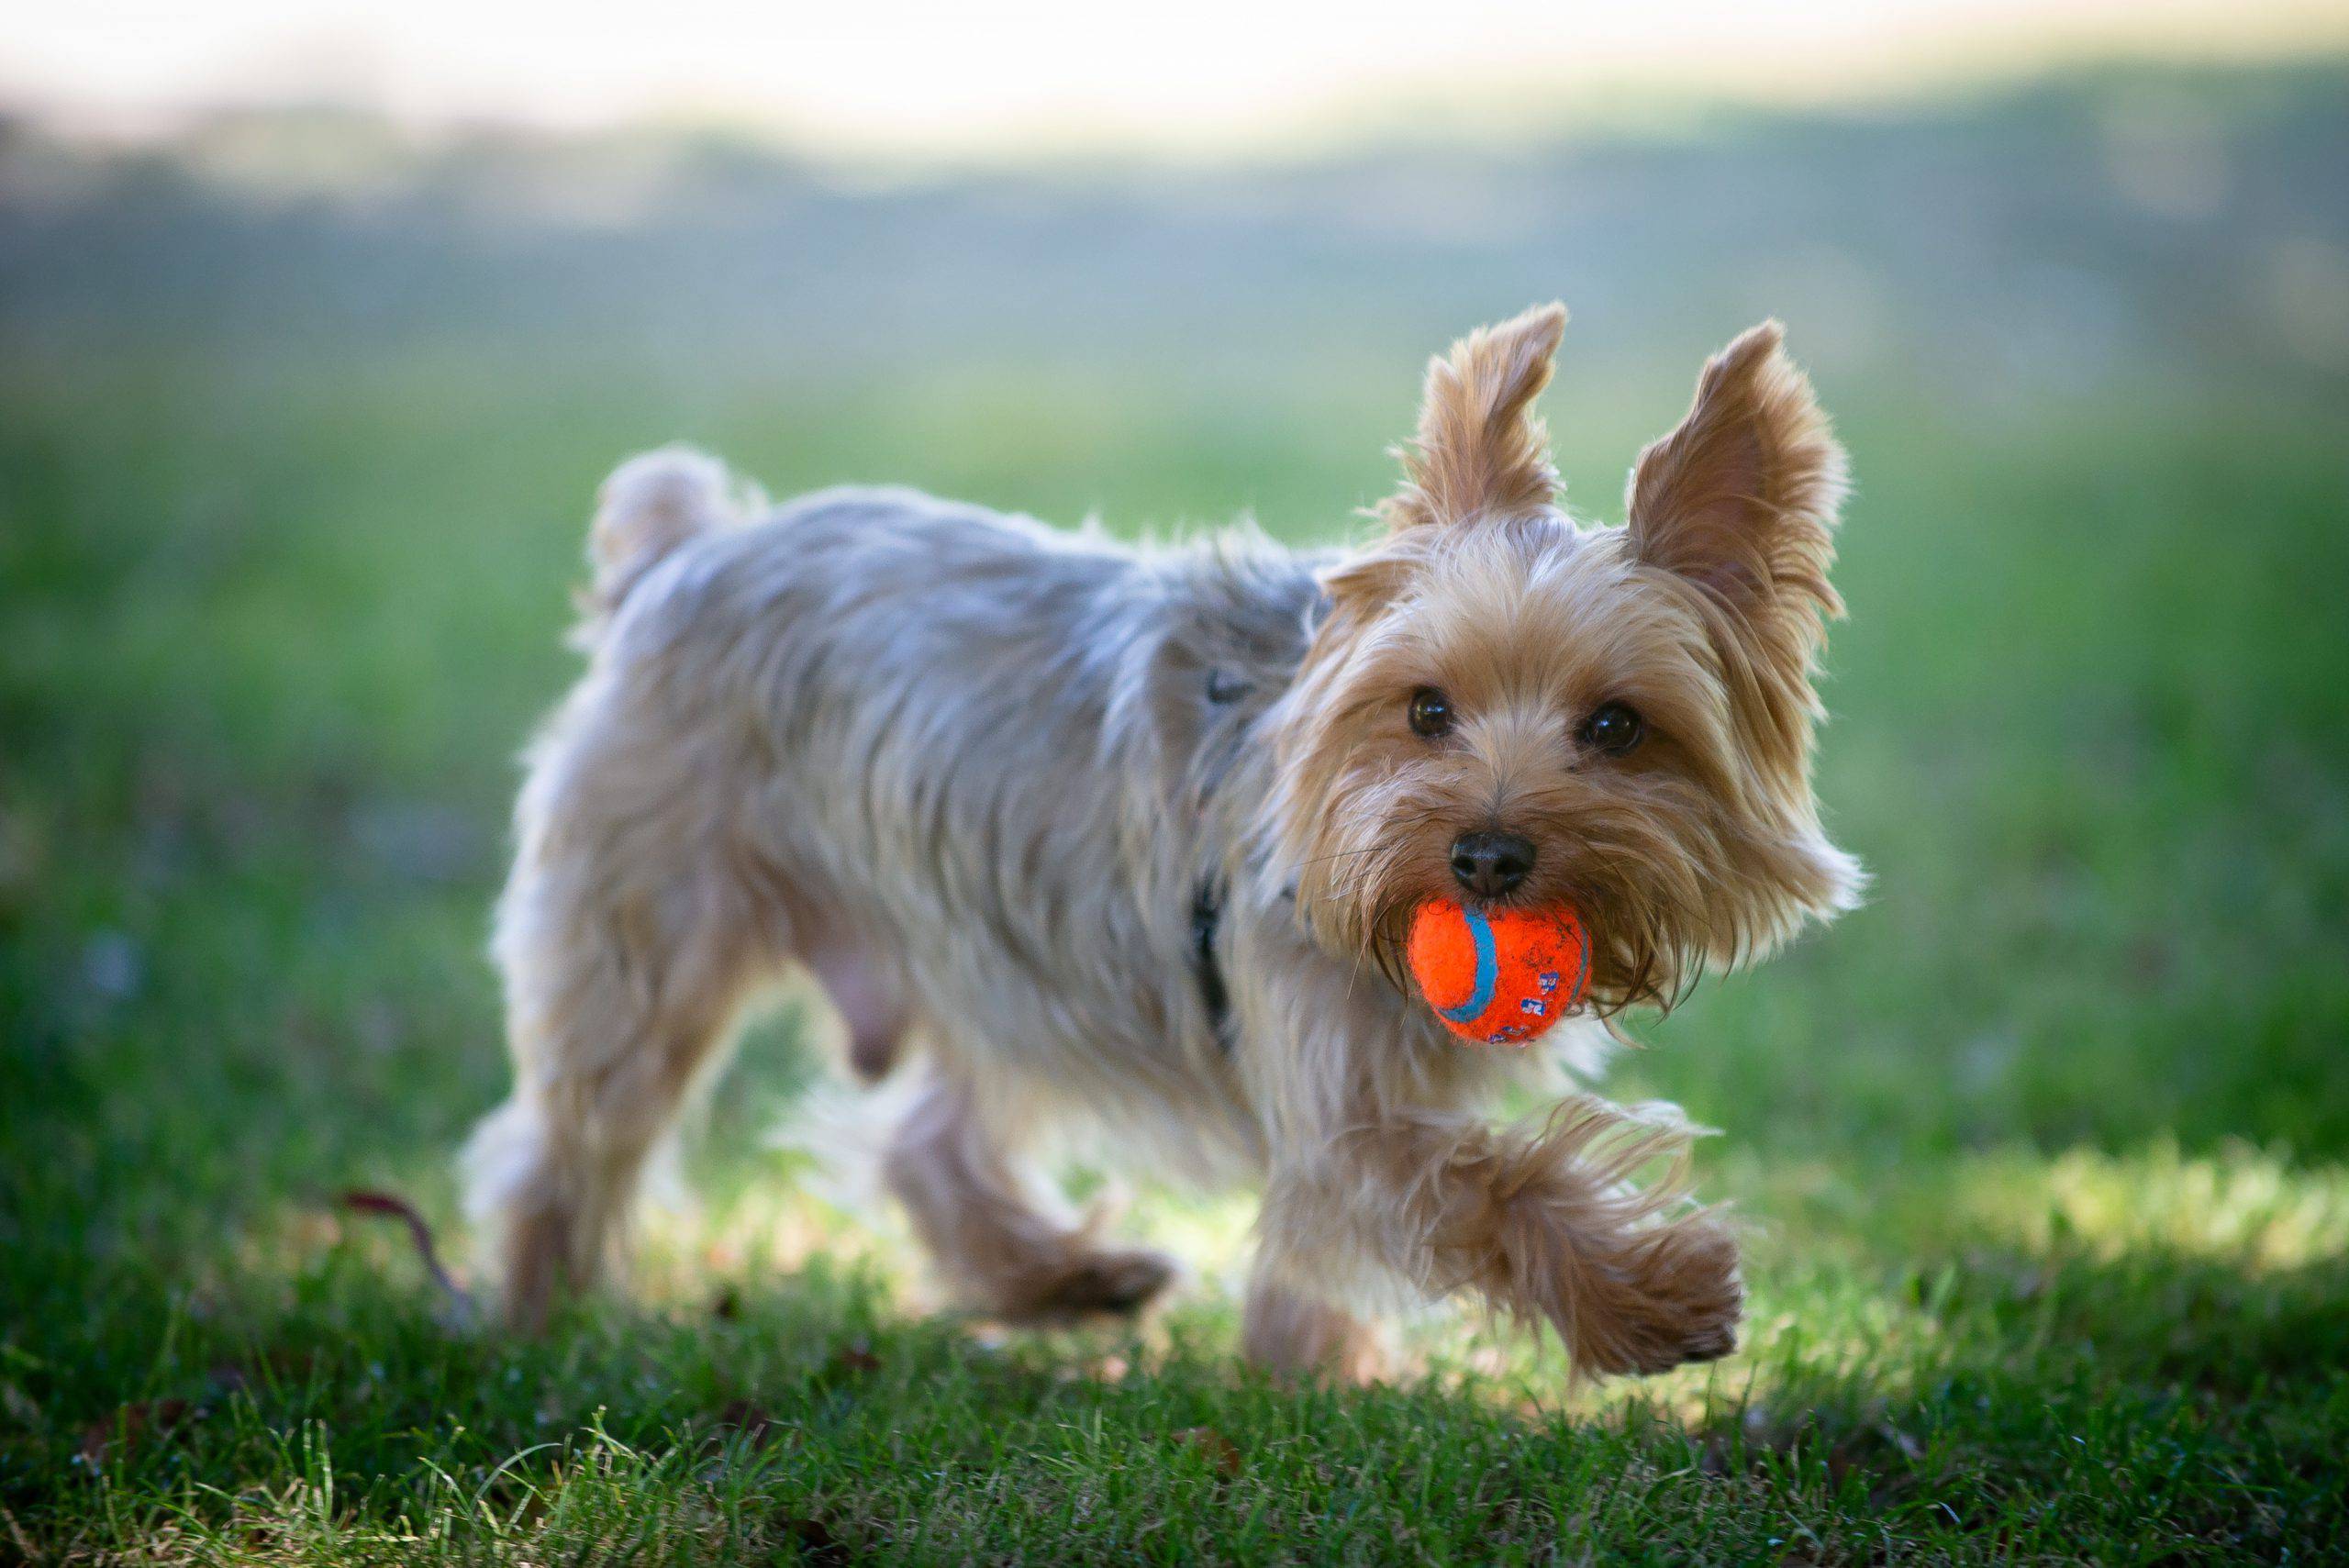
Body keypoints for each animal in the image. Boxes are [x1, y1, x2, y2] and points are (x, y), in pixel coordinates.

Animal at [462, 309, 1851, 1380]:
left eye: (1617, 727)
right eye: (1426, 709)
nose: (1488, 858)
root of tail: (685, 548)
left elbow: (1344, 1235)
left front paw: (1320, 1372)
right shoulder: (1337, 1087)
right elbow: (1484, 1183)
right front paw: (1657, 1297)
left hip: (999, 945)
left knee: (930, 1138)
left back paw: (1066, 1277)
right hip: (654, 915)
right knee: (572, 1133)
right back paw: (541, 1321)